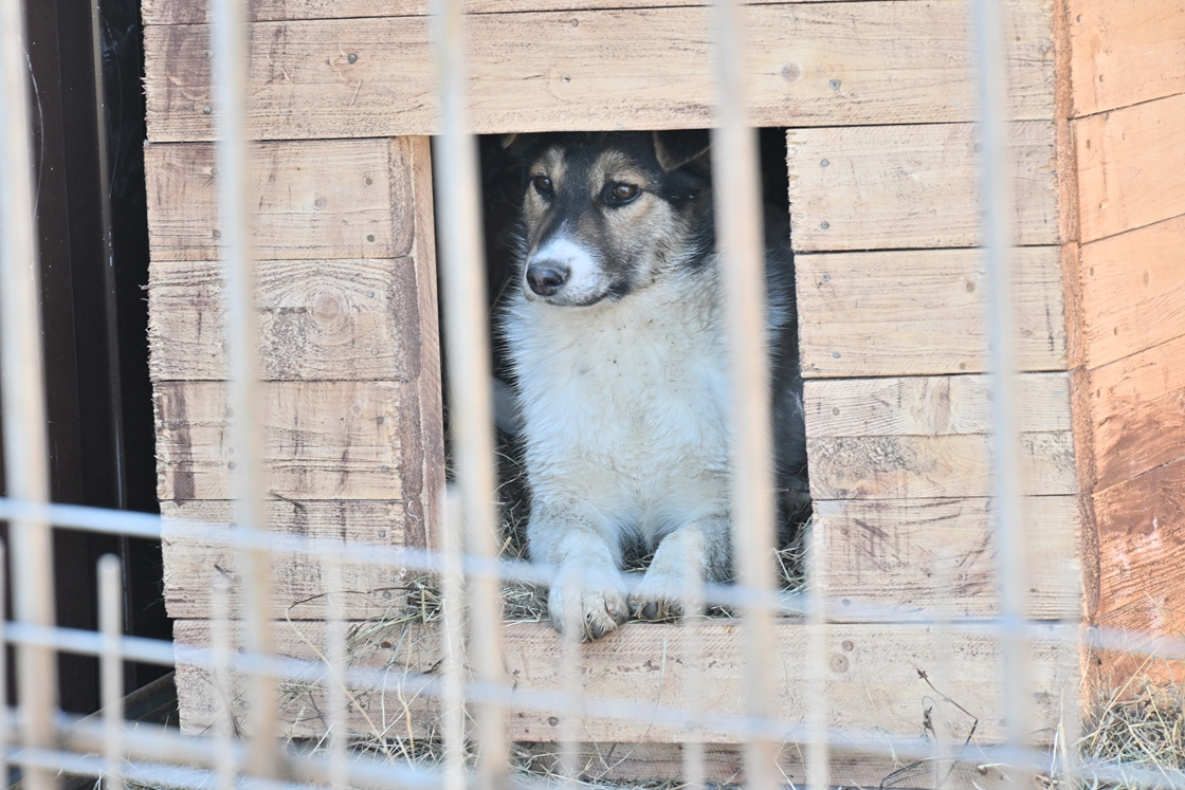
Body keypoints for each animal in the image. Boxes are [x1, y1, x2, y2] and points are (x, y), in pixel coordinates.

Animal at [490, 126, 805, 639]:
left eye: (622, 190)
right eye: (543, 184)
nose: (542, 276)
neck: (625, 335)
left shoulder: (726, 502)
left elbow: (688, 536)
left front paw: (668, 582)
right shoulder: (562, 503)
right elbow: (579, 543)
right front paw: (586, 592)